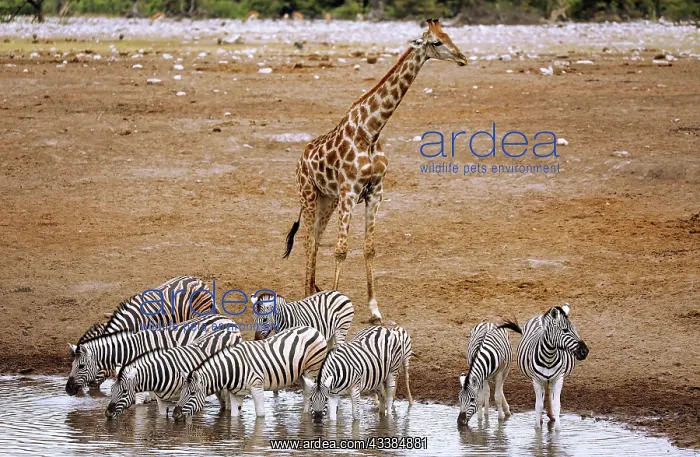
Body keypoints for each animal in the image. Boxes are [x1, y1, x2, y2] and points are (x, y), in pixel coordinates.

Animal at [105, 329, 240, 418]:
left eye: (124, 392)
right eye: (111, 390)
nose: (107, 413)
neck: (159, 374)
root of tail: (228, 331)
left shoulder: (186, 396)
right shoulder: (161, 401)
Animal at [172, 326, 327, 420]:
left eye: (192, 394)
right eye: (181, 392)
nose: (175, 414)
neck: (233, 368)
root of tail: (313, 329)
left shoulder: (257, 387)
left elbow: (260, 416)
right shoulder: (236, 394)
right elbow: (234, 418)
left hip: (313, 369)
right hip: (300, 374)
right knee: (306, 391)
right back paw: (305, 415)